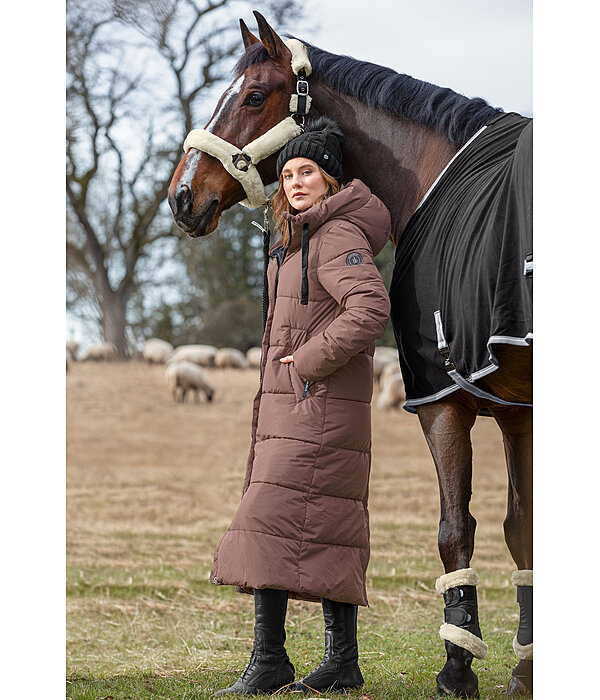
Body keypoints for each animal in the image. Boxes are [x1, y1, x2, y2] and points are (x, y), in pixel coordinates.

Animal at [166, 12, 532, 700]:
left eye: (253, 96)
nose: (180, 196)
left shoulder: (443, 401)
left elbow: (456, 530)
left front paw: (457, 669)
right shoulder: (517, 411)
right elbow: (521, 529)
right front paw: (524, 669)